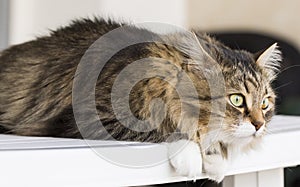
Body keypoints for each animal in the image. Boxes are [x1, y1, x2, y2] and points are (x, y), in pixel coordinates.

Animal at [0, 17, 282, 181]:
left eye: (265, 103)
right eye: (237, 100)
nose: (259, 125)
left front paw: (216, 159)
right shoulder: (92, 117)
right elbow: (164, 129)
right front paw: (191, 155)